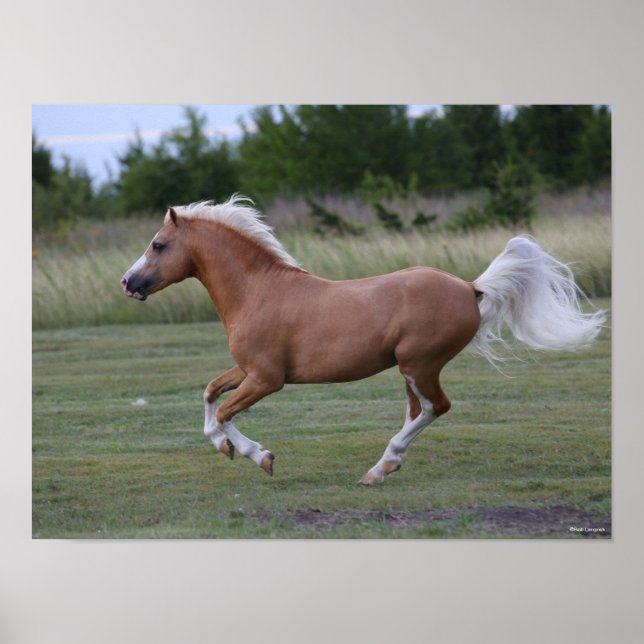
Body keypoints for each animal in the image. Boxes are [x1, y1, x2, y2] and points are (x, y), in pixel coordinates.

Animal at [121, 195, 606, 485]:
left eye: (158, 245)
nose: (128, 283)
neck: (258, 291)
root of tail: (471, 287)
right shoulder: (247, 370)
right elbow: (209, 394)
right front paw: (224, 447)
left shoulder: (267, 379)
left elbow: (223, 411)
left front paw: (258, 456)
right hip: (411, 371)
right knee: (420, 410)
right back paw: (385, 467)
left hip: (420, 364)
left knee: (436, 407)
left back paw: (377, 469)